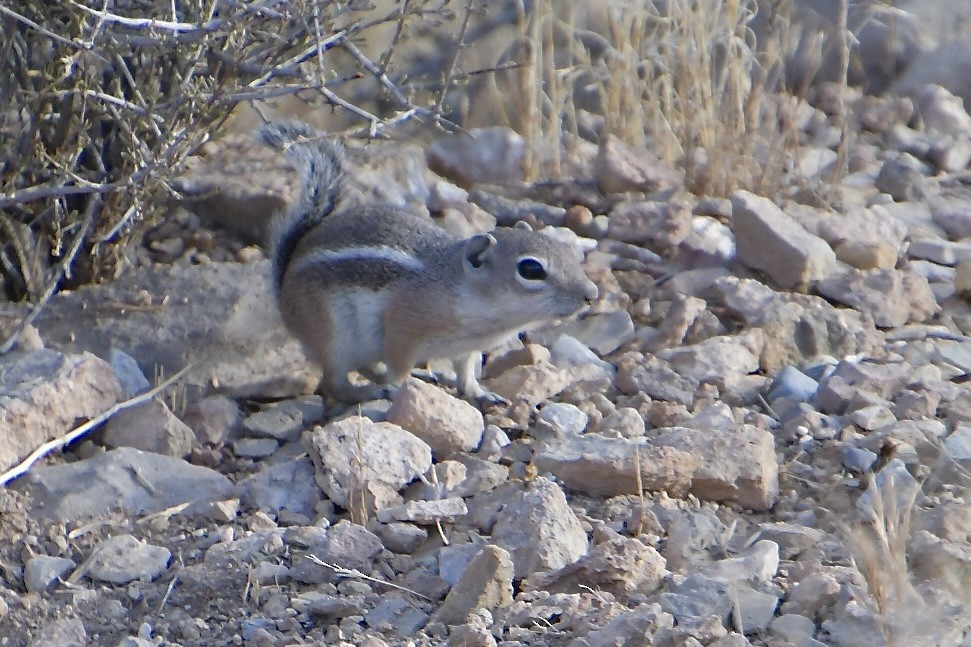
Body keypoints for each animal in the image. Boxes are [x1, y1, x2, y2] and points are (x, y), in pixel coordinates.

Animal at [260, 121, 599, 404]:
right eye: (531, 269)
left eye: (569, 251)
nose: (591, 295)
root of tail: (283, 297)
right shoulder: (402, 330)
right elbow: (398, 365)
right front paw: (401, 388)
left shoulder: (468, 348)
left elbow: (467, 371)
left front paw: (479, 393)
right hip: (333, 334)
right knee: (334, 383)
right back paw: (372, 391)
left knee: (365, 367)